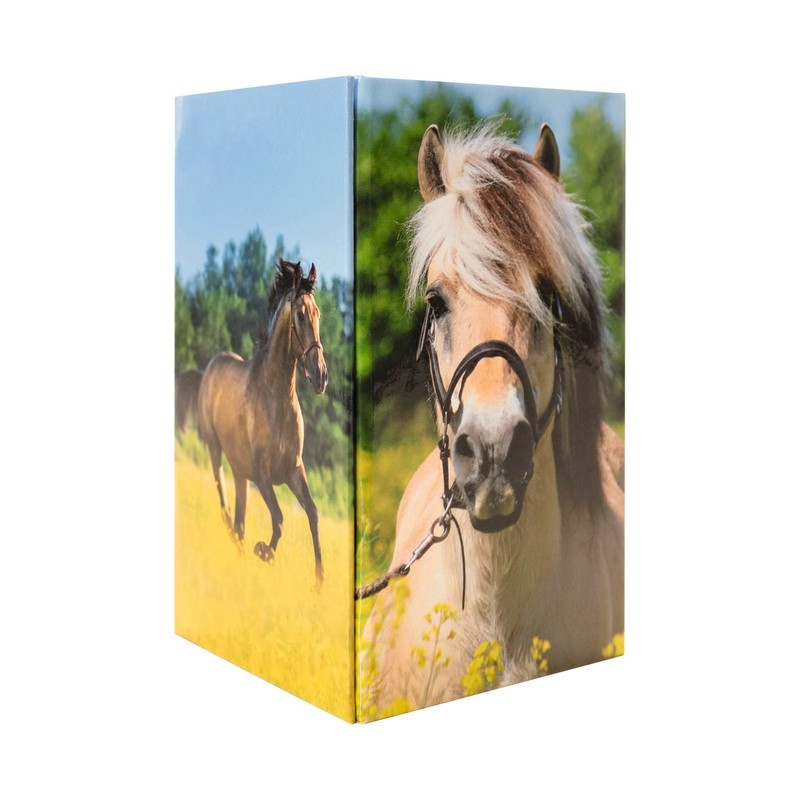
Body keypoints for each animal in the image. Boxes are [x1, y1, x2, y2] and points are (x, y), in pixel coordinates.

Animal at [197, 259, 328, 585]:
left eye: (318, 313)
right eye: (300, 314)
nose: (321, 376)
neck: (276, 399)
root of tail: (214, 363)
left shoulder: (294, 470)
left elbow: (313, 513)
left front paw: (319, 580)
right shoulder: (263, 473)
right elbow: (279, 518)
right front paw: (264, 552)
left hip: (240, 471)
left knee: (240, 519)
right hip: (216, 449)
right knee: (224, 501)